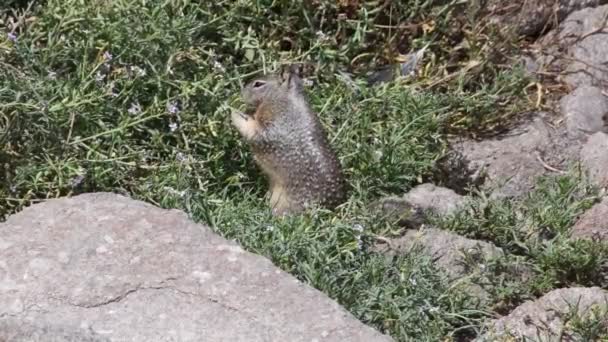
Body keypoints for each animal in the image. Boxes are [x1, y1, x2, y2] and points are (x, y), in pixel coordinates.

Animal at [232, 66, 346, 216]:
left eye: (258, 84)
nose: (241, 93)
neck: (282, 99)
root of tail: (332, 209)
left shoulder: (273, 126)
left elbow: (254, 131)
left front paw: (234, 112)